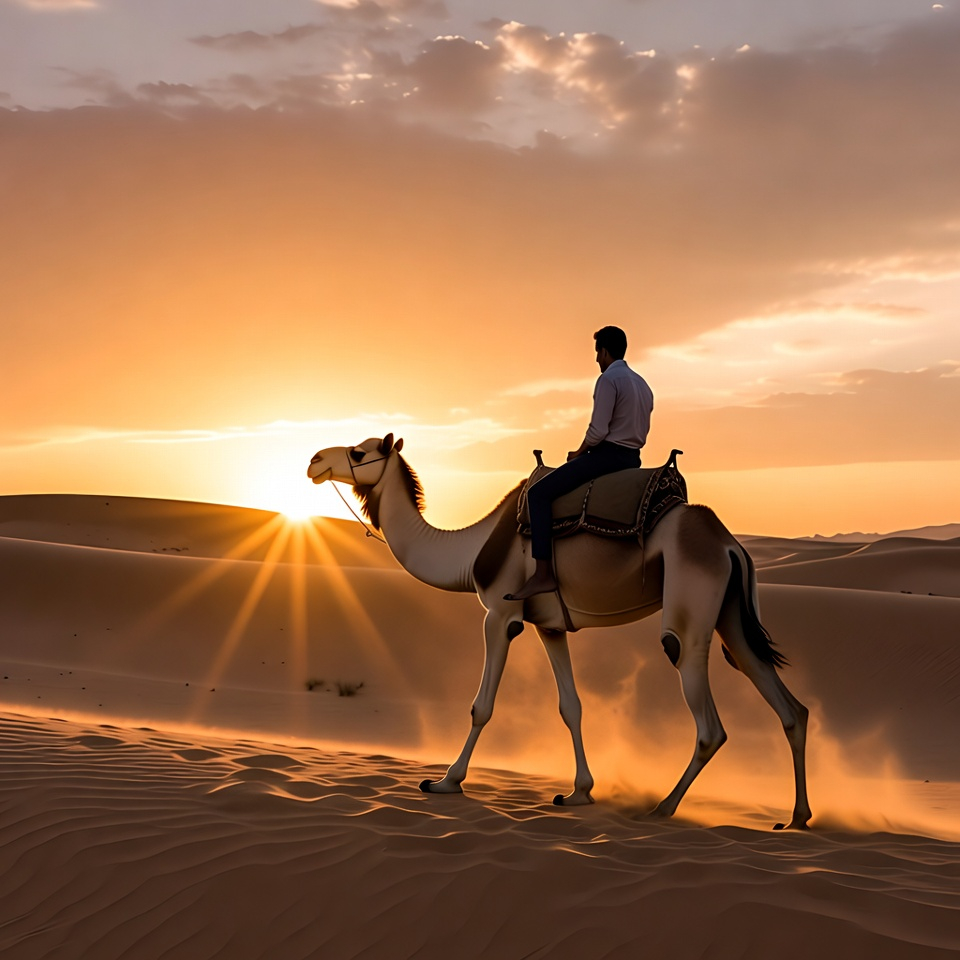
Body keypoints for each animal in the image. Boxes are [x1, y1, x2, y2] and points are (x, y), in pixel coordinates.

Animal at [307, 434, 812, 829]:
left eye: (358, 452)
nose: (313, 460)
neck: (472, 550)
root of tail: (728, 545)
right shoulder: (549, 627)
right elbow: (572, 707)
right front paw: (579, 792)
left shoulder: (500, 615)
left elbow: (481, 706)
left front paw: (446, 781)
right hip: (731, 616)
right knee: (787, 703)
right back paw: (798, 818)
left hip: (692, 603)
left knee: (707, 716)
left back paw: (663, 808)